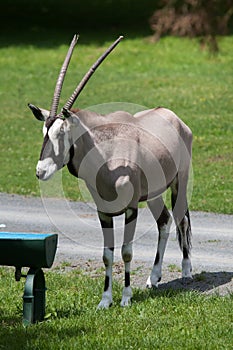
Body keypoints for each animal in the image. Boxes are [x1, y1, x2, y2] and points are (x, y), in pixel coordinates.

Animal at [28, 34, 193, 308]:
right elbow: (107, 254)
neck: (106, 156)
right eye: (44, 132)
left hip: (179, 181)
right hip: (154, 193)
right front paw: (105, 300)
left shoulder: (131, 209)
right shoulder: (104, 212)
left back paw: (187, 271)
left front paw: (125, 298)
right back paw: (153, 278)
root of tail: (173, 117)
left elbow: (126, 251)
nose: (40, 171)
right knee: (164, 220)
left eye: (62, 132)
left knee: (182, 218)